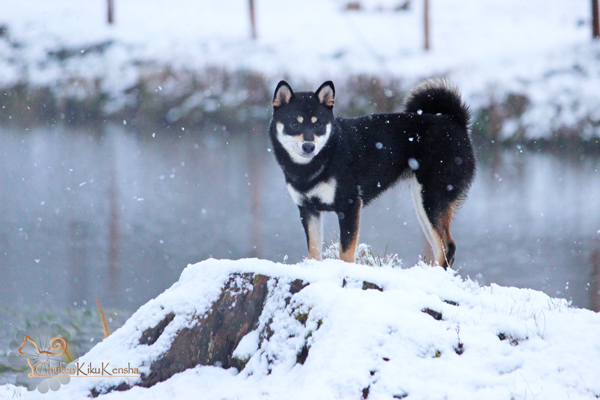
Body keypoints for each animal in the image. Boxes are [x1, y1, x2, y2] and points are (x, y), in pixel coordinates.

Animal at [270, 79, 476, 268]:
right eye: (294, 123)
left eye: (318, 124)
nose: (309, 146)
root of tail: (455, 120)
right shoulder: (308, 209)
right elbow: (314, 251)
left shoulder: (350, 205)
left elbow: (346, 252)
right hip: (422, 203)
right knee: (439, 246)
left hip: (431, 199)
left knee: (447, 247)